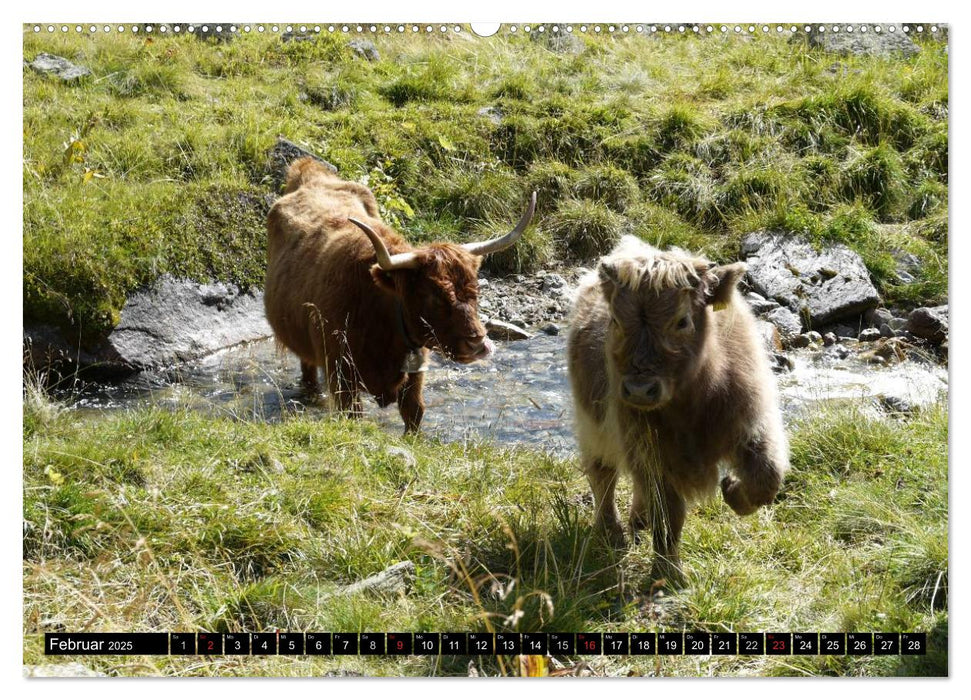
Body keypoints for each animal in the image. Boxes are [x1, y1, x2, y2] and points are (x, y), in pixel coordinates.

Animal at [264, 157, 540, 432]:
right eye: (432, 295)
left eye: (475, 289)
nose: (477, 342)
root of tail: (309, 170)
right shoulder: (341, 372)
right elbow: (353, 414)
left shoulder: (414, 374)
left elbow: (414, 411)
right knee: (308, 371)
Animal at [568, 238, 788, 584]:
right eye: (615, 320)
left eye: (682, 321)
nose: (640, 389)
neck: (691, 405)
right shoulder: (649, 452)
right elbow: (668, 515)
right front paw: (668, 575)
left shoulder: (753, 423)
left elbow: (767, 478)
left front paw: (733, 491)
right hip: (593, 424)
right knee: (602, 474)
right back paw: (612, 531)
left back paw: (637, 521)